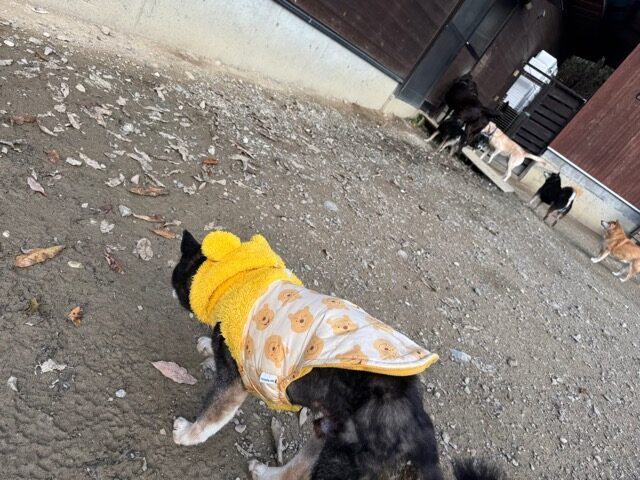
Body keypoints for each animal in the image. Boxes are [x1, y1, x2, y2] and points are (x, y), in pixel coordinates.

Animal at [171, 231, 506, 480]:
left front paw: (187, 434)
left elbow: (211, 416)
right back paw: (266, 472)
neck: (238, 280)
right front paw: (205, 343)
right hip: (326, 430)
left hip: (339, 459)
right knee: (295, 471)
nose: (170, 287)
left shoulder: (234, 382)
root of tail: (421, 438)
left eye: (175, 273)